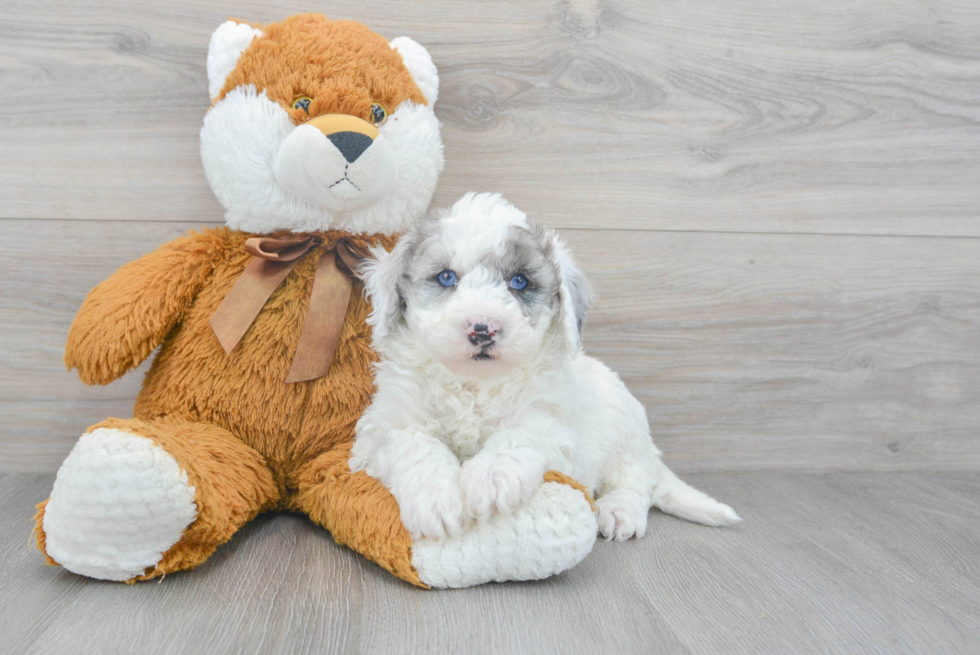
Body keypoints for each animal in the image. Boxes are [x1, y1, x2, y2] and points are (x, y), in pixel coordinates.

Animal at [348, 193, 740, 544]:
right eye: (446, 277)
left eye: (519, 281)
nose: (482, 328)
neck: (475, 385)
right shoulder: (386, 426)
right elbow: (416, 445)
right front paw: (435, 499)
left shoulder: (551, 424)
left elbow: (518, 436)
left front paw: (491, 479)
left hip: (625, 432)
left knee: (635, 481)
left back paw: (619, 511)